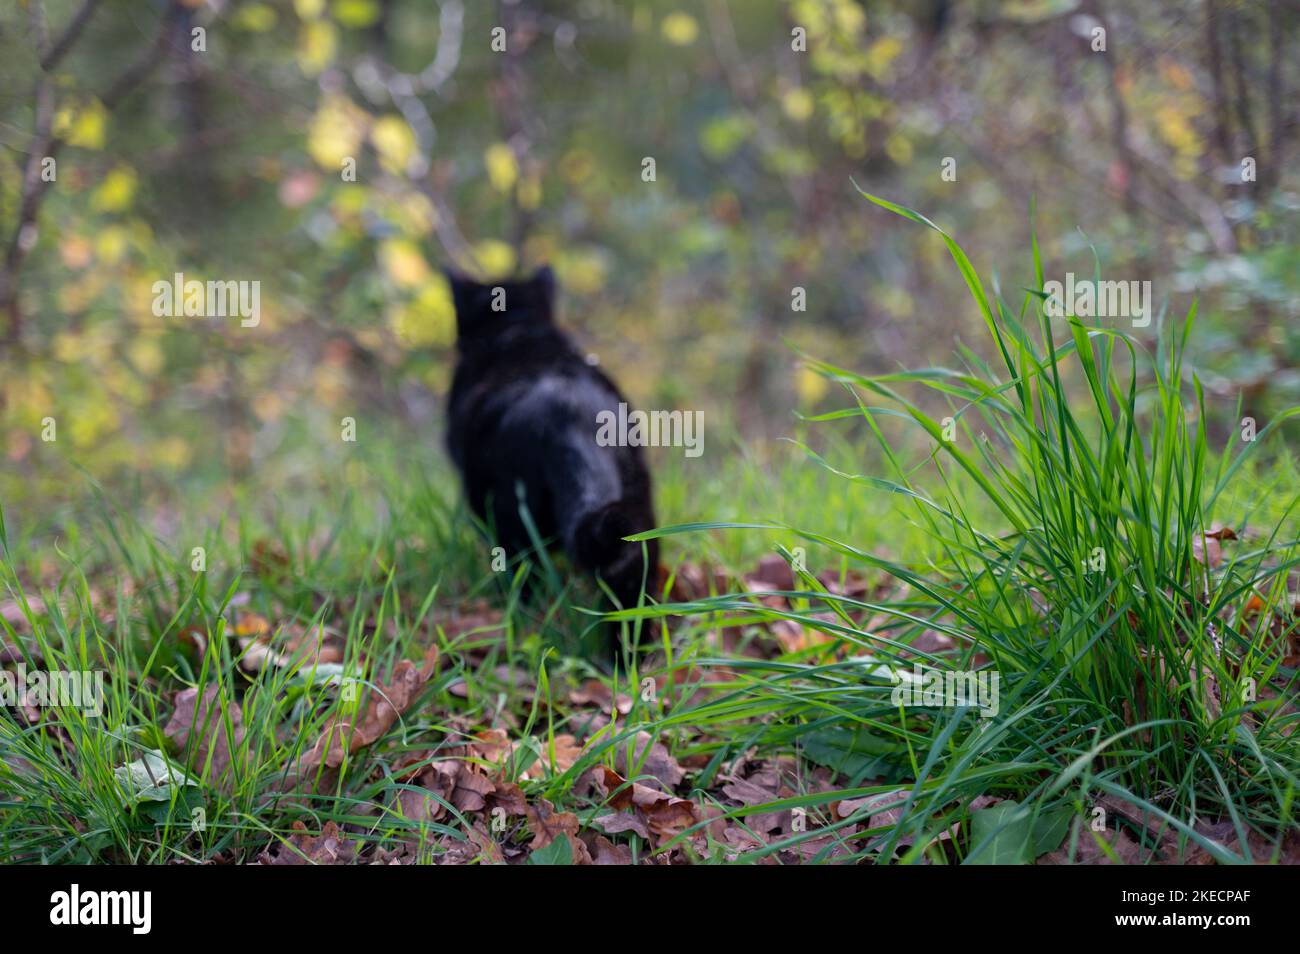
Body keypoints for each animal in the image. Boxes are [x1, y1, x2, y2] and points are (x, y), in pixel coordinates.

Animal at [447, 263, 660, 642]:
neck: (518, 329)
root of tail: (568, 414)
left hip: (511, 517)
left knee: (521, 574)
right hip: (638, 509)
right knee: (633, 589)